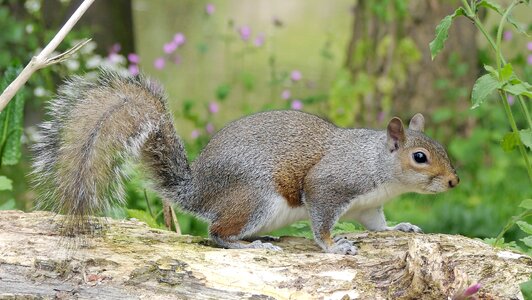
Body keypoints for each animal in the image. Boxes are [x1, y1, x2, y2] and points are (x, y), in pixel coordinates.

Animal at [32, 69, 458, 254]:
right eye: (420, 157)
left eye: (440, 147)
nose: (454, 182)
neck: (377, 165)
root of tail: (198, 191)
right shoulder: (330, 185)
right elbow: (321, 222)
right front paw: (334, 246)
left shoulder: (368, 206)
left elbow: (378, 226)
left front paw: (401, 227)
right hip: (255, 197)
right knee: (216, 234)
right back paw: (250, 246)